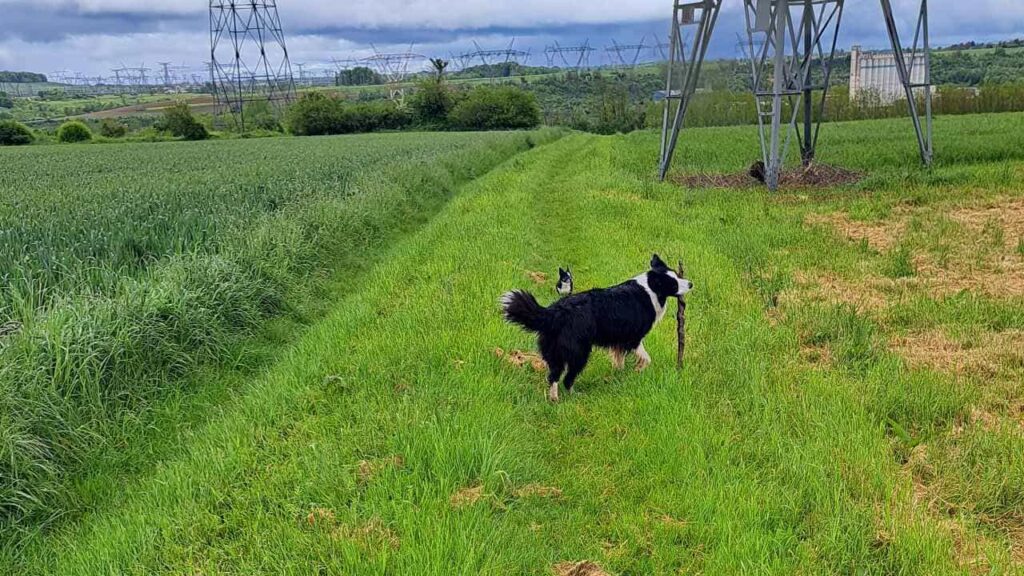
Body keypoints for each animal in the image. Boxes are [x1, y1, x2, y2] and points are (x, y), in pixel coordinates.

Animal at [499, 253, 692, 401]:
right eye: (673, 283)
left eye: (678, 275)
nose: (691, 284)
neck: (650, 288)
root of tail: (554, 312)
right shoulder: (633, 337)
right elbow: (646, 358)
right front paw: (638, 370)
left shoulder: (619, 341)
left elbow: (619, 361)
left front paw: (619, 376)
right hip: (579, 352)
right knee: (567, 378)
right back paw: (574, 396)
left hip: (555, 352)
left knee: (553, 375)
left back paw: (554, 399)